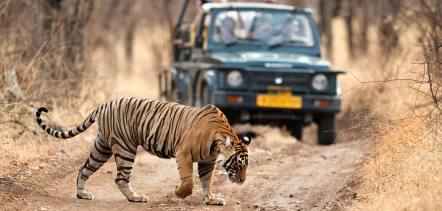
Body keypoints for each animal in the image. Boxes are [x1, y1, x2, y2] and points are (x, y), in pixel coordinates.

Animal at [34, 97, 250, 206]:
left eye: (246, 166)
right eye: (238, 164)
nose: (242, 181)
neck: (219, 139)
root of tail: (104, 104)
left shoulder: (208, 161)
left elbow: (207, 181)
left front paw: (211, 199)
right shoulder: (184, 153)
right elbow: (189, 181)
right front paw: (178, 192)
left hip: (102, 147)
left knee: (84, 168)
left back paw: (82, 194)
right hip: (125, 148)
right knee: (120, 178)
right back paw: (136, 198)